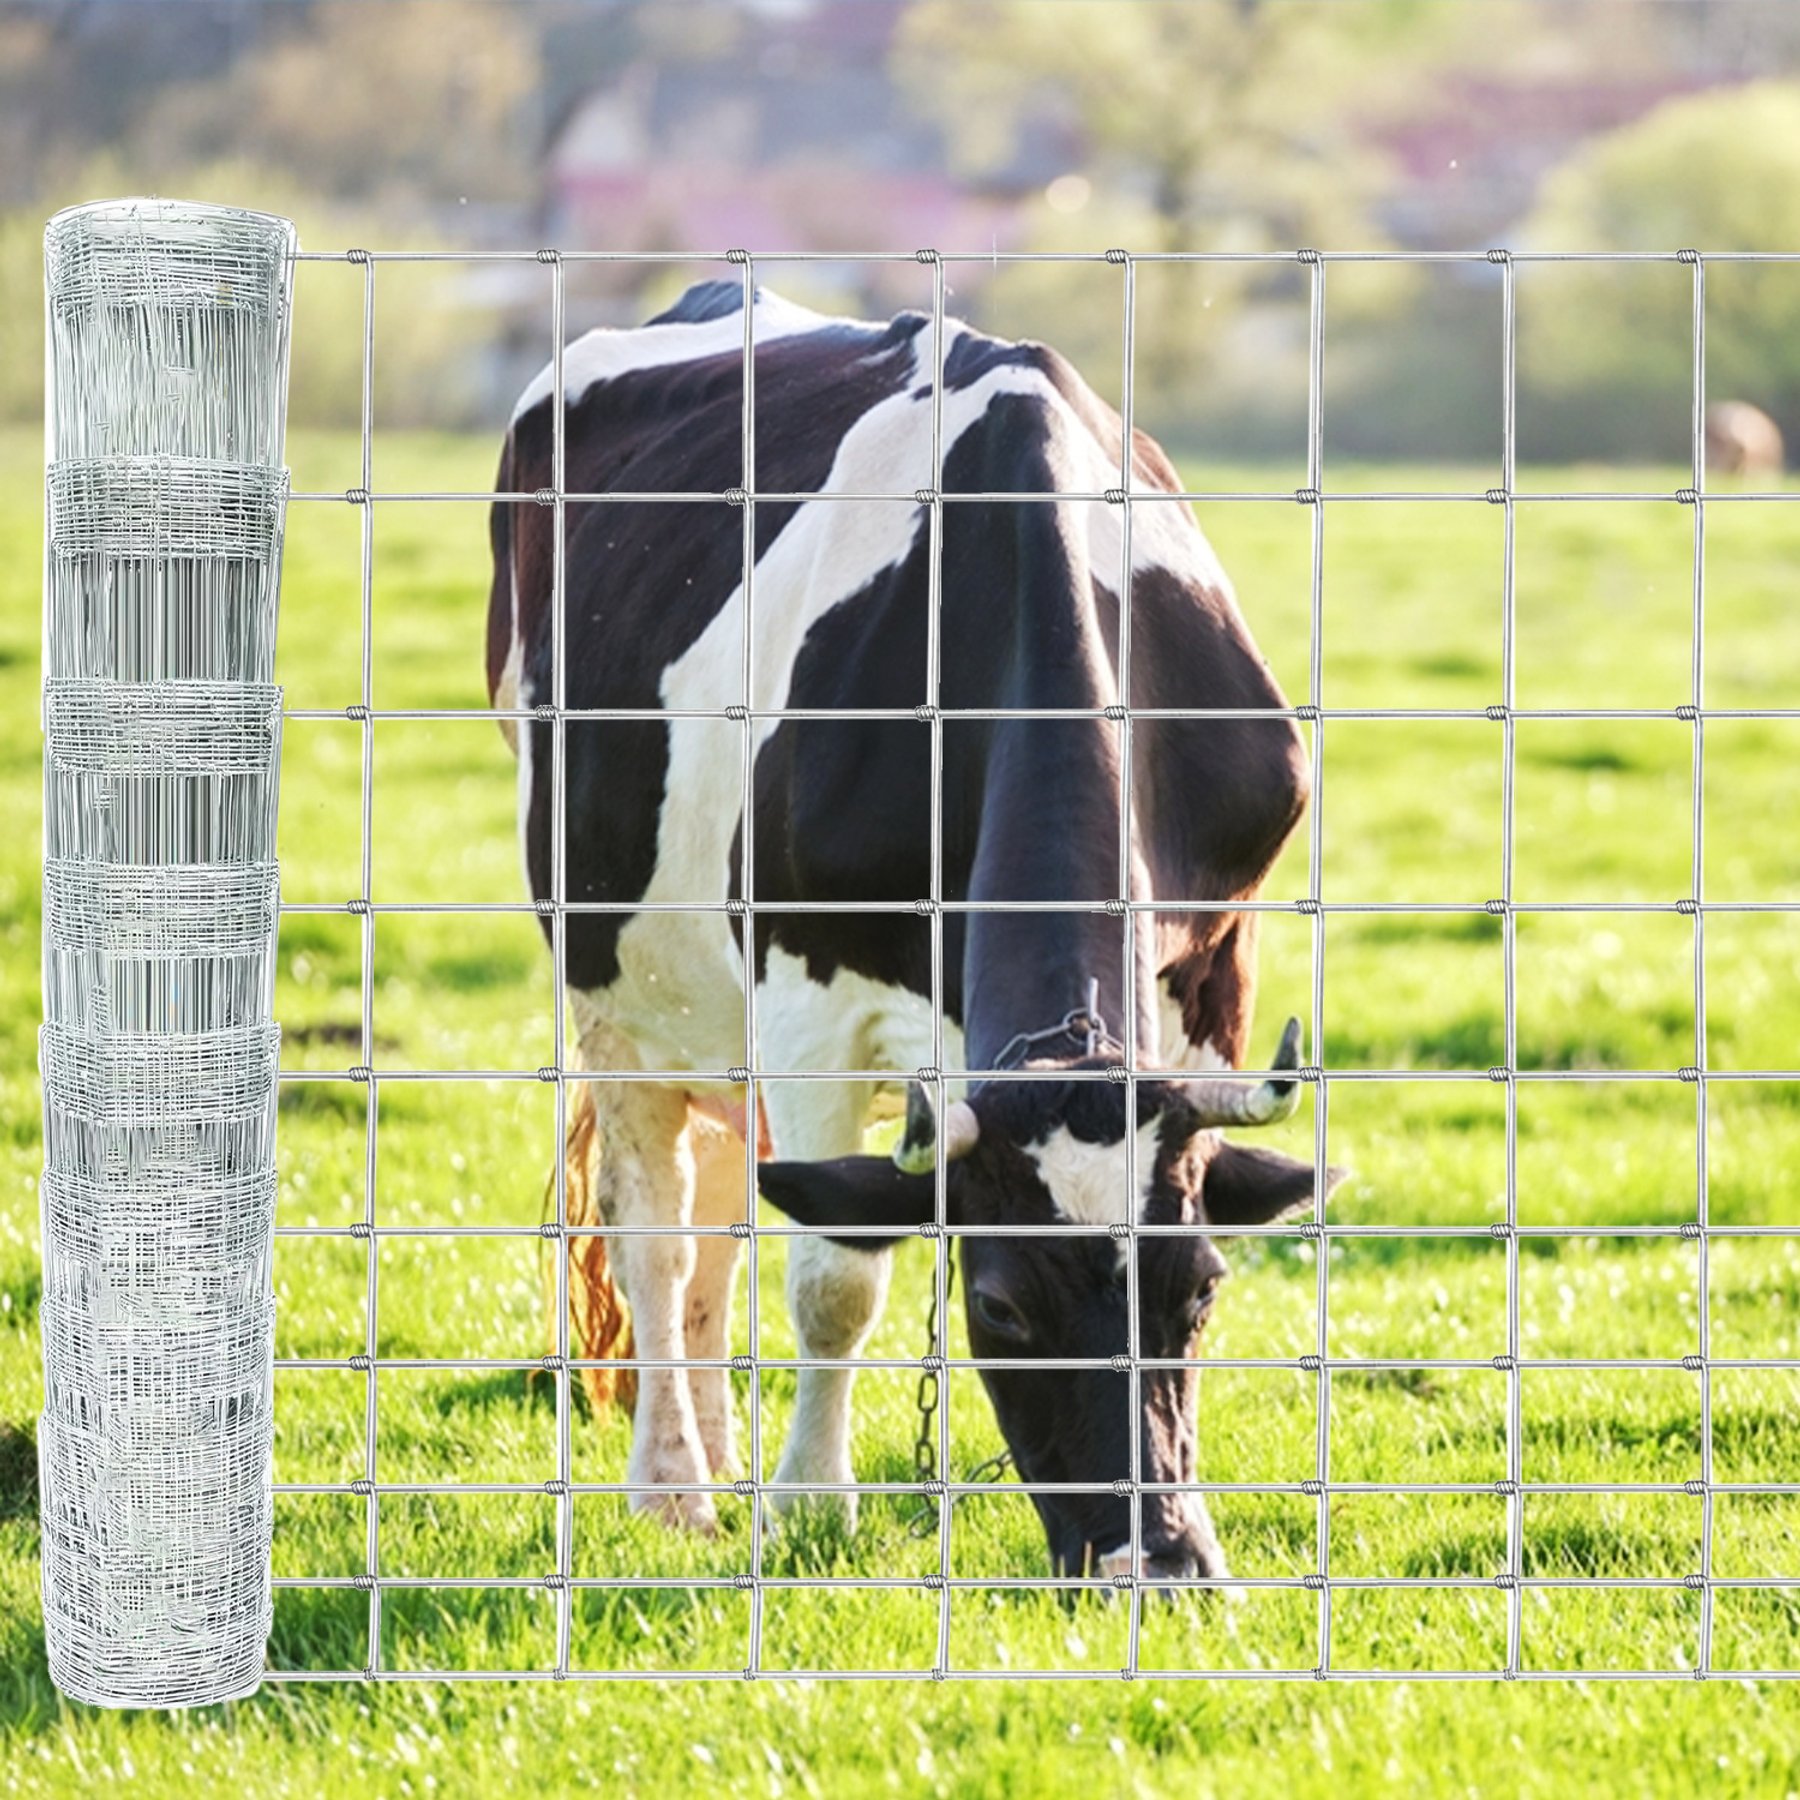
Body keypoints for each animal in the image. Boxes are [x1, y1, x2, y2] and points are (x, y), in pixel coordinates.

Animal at [488, 280, 1338, 1587]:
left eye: (1199, 1291)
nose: (1157, 1566)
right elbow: (835, 1278)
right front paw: (808, 1507)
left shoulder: (1214, 976)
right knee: (661, 1238)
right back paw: (678, 1487)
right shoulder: (807, 998)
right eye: (1001, 1308)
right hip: (616, 989)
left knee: (727, 1213)